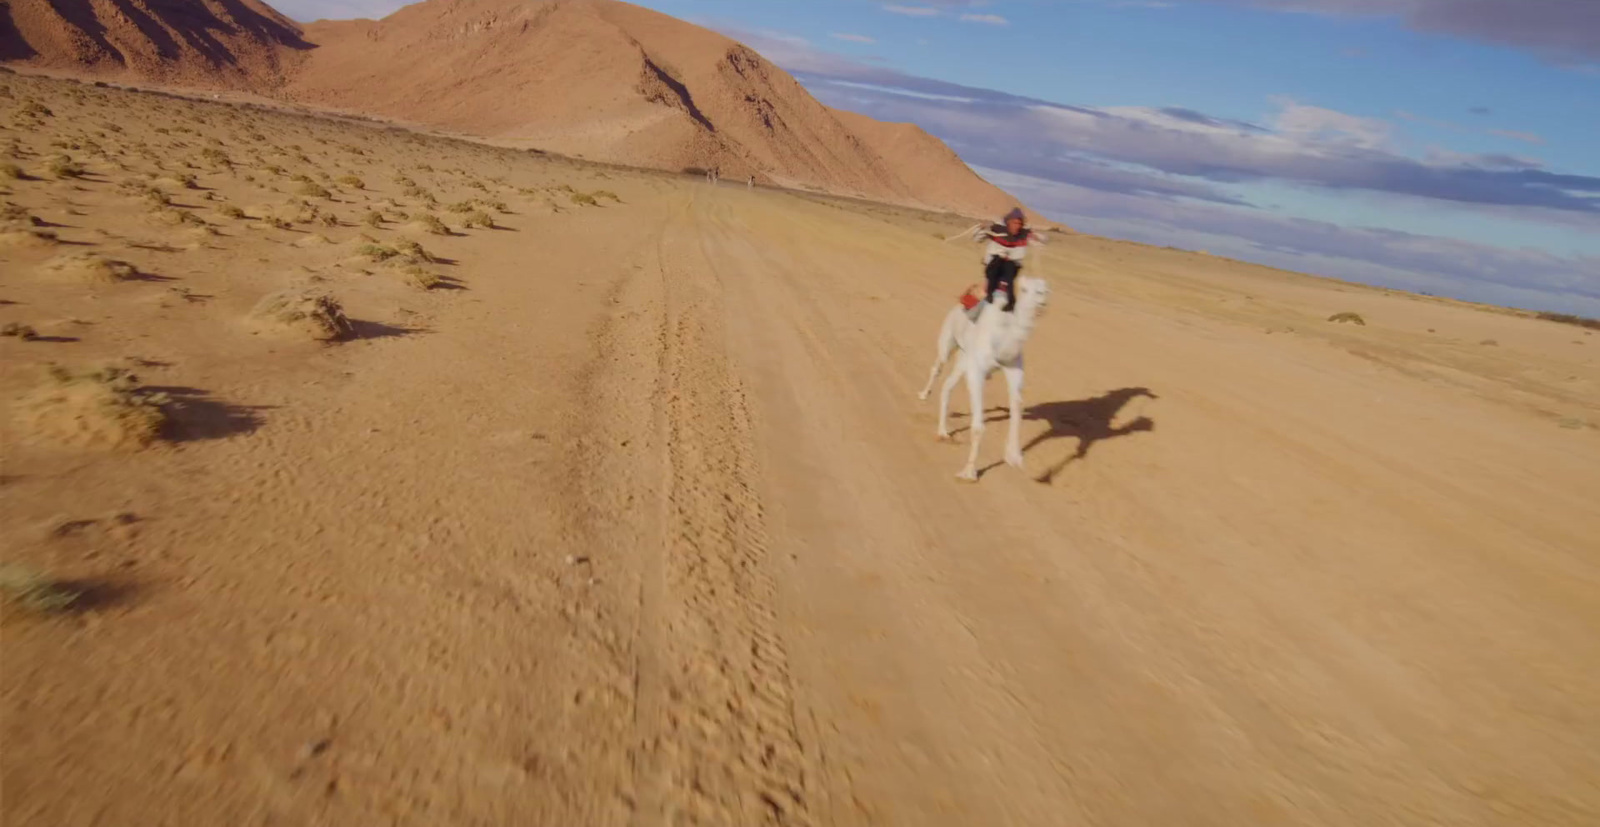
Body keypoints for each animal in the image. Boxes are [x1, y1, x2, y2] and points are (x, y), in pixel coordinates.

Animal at [928, 276, 1049, 479]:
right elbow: (978, 426)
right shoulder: (977, 372)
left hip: (963, 358)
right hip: (948, 341)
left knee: (947, 386)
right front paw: (969, 472)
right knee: (938, 365)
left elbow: (1017, 408)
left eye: (1045, 289)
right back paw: (923, 394)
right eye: (1024, 289)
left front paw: (1014, 457)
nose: (1042, 299)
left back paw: (943, 432)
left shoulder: (1014, 370)